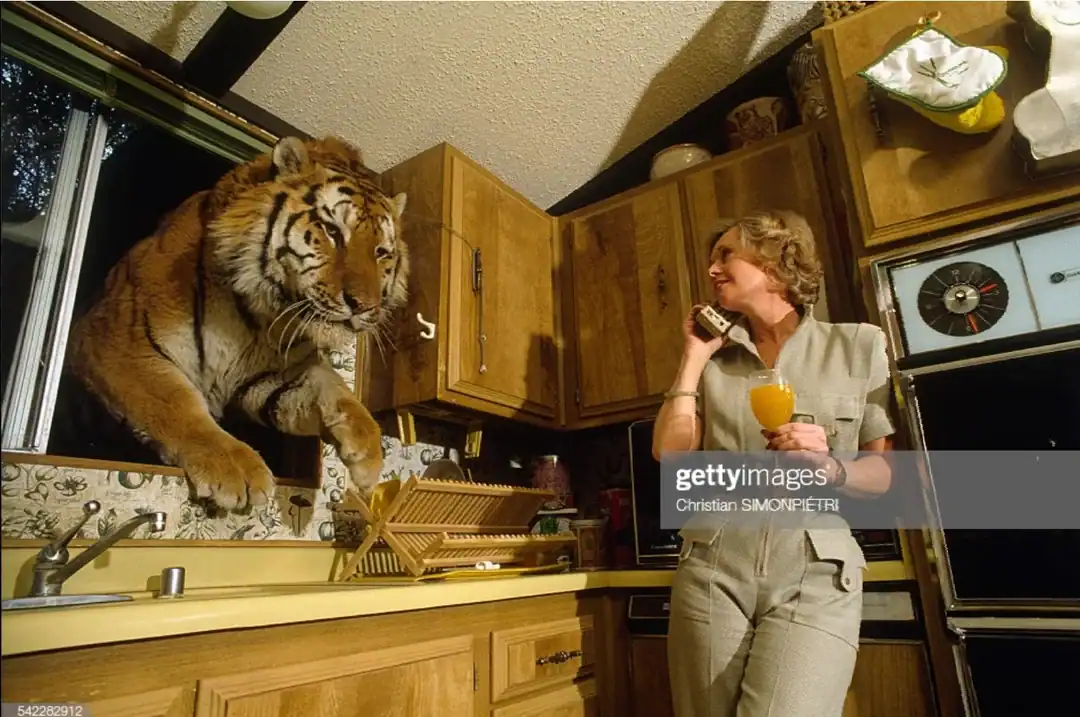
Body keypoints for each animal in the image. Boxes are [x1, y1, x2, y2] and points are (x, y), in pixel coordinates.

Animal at [65, 135, 409, 513]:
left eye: (381, 252)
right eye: (332, 231)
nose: (364, 306)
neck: (261, 317)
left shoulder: (270, 377)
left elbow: (339, 392)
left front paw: (368, 460)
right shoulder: (117, 343)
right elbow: (175, 401)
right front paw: (234, 468)